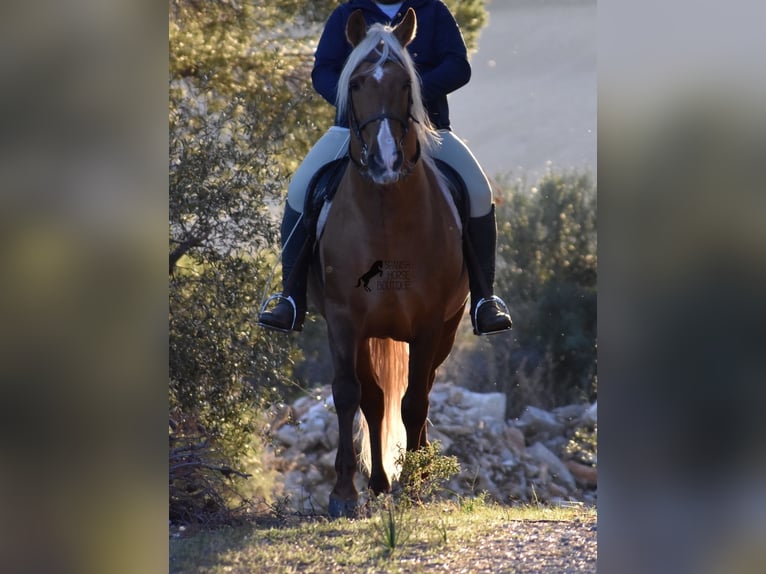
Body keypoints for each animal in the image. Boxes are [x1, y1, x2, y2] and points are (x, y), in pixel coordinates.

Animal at [308, 7, 468, 520]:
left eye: (404, 83)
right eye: (356, 82)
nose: (384, 161)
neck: (384, 212)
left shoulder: (431, 322)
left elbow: (415, 401)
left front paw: (415, 485)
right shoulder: (343, 321)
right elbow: (348, 395)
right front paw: (344, 492)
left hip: (447, 328)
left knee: (420, 392)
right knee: (374, 399)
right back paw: (377, 482)